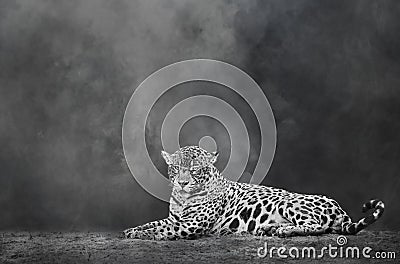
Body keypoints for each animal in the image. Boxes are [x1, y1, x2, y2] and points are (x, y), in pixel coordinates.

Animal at [122, 145, 384, 240]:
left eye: (196, 170)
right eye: (176, 168)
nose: (183, 183)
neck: (184, 198)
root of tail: (340, 209)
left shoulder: (189, 225)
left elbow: (161, 230)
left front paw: (141, 235)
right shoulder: (175, 218)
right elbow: (153, 223)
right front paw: (131, 230)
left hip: (290, 202)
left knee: (318, 226)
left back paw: (283, 230)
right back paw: (270, 229)